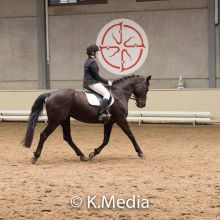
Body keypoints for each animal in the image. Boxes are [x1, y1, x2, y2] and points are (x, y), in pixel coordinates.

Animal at [22, 75, 151, 164]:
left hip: (64, 119)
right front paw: (140, 152)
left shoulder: (109, 122)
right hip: (56, 120)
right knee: (44, 135)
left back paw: (82, 155)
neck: (119, 94)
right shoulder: (120, 119)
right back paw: (35, 156)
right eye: (146, 89)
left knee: (67, 137)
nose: (142, 104)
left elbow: (106, 140)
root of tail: (51, 94)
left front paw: (93, 153)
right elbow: (131, 135)